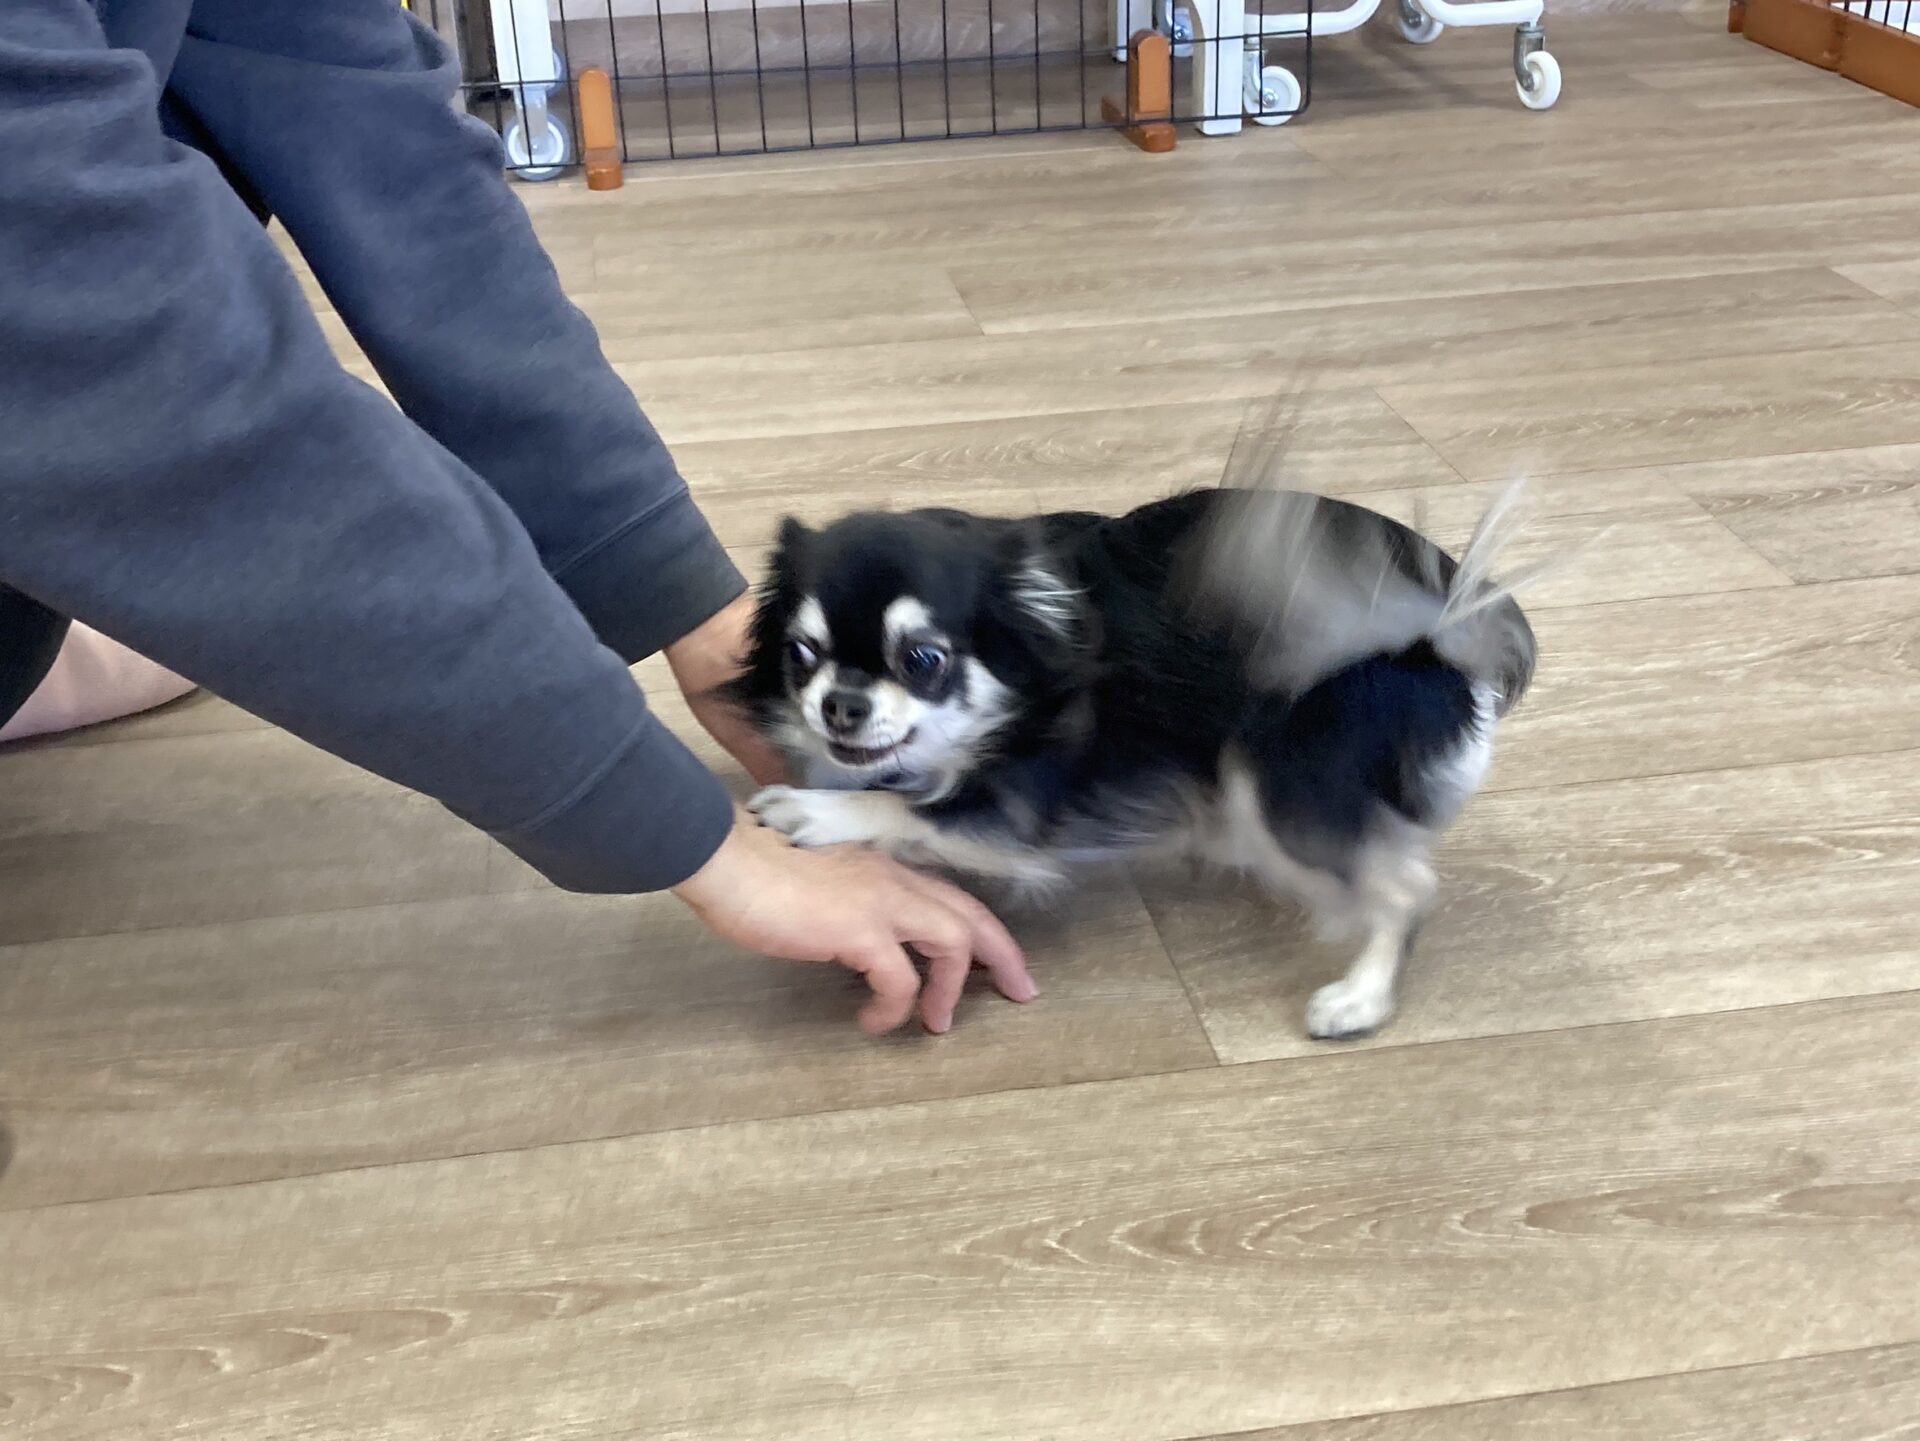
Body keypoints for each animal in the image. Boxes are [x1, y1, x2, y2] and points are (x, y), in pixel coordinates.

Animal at [726, 484, 1538, 1039]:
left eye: (923, 660)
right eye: (801, 654)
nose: (840, 705)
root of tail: (1442, 632)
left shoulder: (1020, 809)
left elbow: (902, 805)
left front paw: (816, 809)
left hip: (1277, 775)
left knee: (1405, 887)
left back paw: (1360, 997)